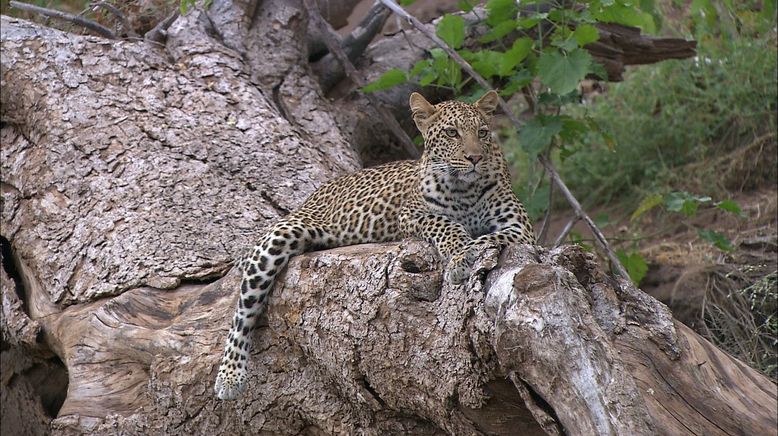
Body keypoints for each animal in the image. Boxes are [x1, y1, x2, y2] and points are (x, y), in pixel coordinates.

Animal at [215, 92, 536, 402]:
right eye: (451, 132)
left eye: (482, 132)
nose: (475, 157)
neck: (465, 189)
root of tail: (311, 198)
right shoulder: (412, 214)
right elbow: (445, 224)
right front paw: (460, 254)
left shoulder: (521, 229)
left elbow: (487, 238)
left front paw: (464, 256)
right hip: (285, 235)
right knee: (243, 311)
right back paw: (230, 376)